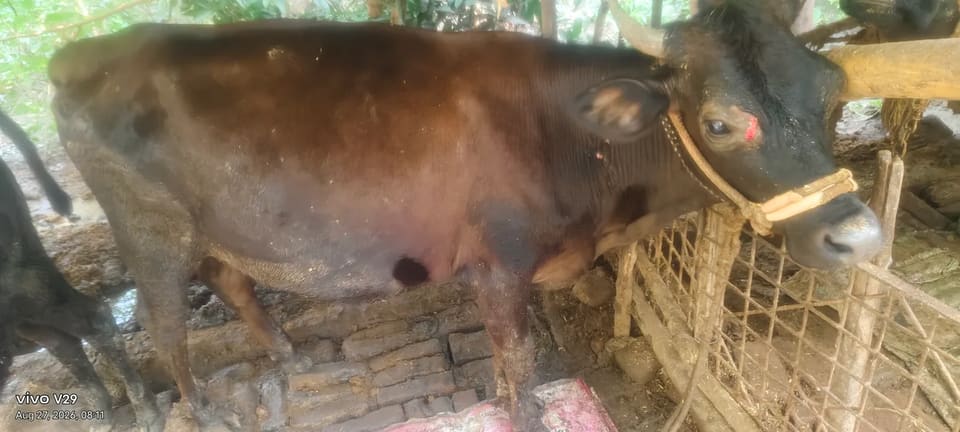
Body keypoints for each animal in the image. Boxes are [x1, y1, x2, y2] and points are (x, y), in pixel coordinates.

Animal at [48, 0, 886, 429]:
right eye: (718, 121)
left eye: (831, 94)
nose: (860, 234)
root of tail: (79, 55)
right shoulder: (498, 267)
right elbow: (517, 361)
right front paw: (525, 415)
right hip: (148, 230)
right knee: (163, 325)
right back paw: (192, 410)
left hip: (214, 225)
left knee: (231, 280)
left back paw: (285, 354)